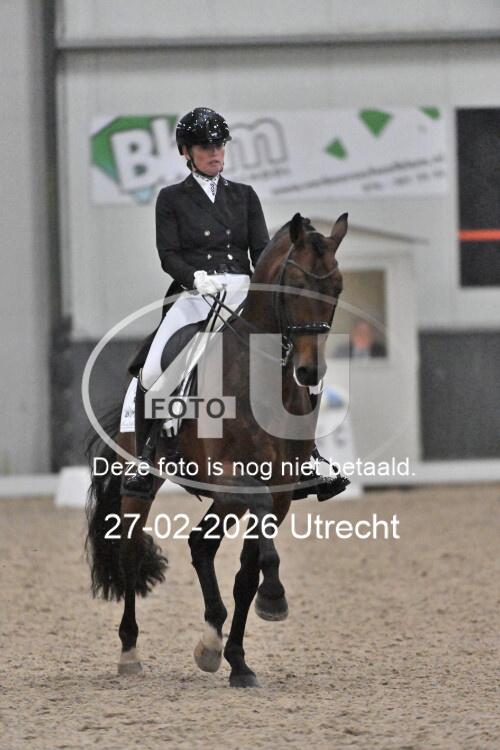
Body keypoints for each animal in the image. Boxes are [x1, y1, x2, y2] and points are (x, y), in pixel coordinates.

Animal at [85, 211, 348, 687]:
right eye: (293, 285)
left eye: (336, 287)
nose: (309, 372)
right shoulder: (238, 479)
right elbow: (258, 558)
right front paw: (274, 599)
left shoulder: (280, 493)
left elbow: (247, 573)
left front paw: (238, 661)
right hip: (143, 486)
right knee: (131, 552)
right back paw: (130, 654)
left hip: (226, 500)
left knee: (200, 545)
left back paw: (210, 643)